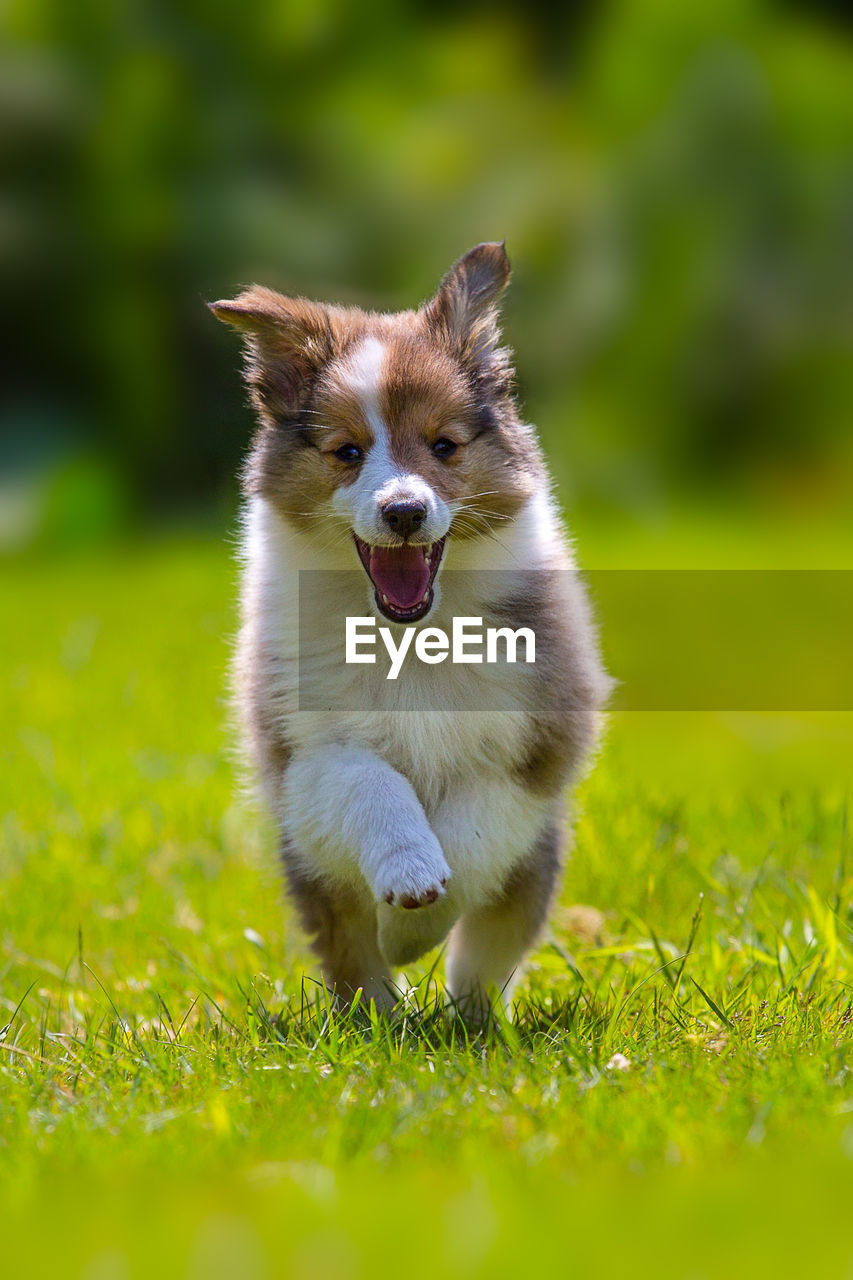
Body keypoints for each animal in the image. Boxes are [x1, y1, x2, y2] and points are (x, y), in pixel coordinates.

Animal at [208, 241, 607, 1018]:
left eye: (443, 446)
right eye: (348, 452)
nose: (402, 512)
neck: (410, 637)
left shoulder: (535, 745)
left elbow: (474, 832)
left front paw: (412, 927)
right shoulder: (305, 748)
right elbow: (373, 785)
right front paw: (408, 887)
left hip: (536, 869)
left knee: (488, 953)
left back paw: (472, 1021)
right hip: (310, 876)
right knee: (351, 961)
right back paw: (376, 1023)